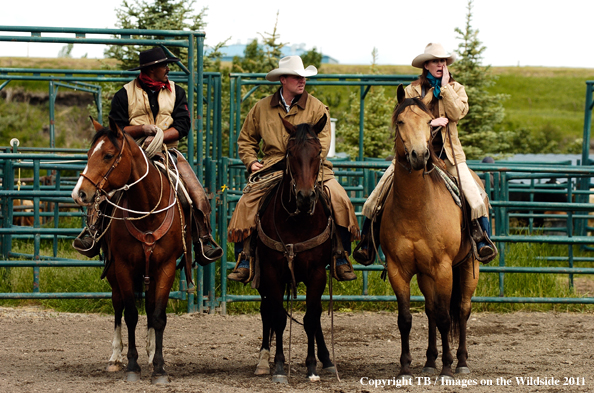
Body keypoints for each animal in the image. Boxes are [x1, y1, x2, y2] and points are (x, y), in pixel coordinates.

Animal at [70, 115, 188, 382]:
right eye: (89, 153)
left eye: (107, 155)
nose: (79, 193)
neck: (148, 214)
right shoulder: (123, 266)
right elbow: (130, 314)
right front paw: (133, 366)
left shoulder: (166, 267)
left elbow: (158, 316)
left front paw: (159, 367)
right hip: (114, 272)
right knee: (118, 306)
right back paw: (115, 358)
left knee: (151, 308)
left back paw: (151, 352)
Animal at [252, 113, 338, 382]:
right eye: (290, 152)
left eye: (319, 151)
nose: (305, 196)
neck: (297, 221)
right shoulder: (271, 272)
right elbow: (279, 317)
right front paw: (279, 366)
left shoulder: (317, 273)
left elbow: (311, 318)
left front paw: (312, 366)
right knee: (266, 311)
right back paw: (263, 361)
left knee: (316, 314)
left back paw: (327, 360)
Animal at [380, 84, 480, 382]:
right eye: (401, 122)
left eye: (428, 122)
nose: (420, 156)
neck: (416, 208)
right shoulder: (398, 269)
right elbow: (406, 319)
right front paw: (404, 367)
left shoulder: (444, 268)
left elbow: (447, 317)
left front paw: (447, 367)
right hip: (425, 275)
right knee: (431, 310)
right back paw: (429, 361)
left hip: (468, 267)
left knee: (461, 310)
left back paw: (460, 362)